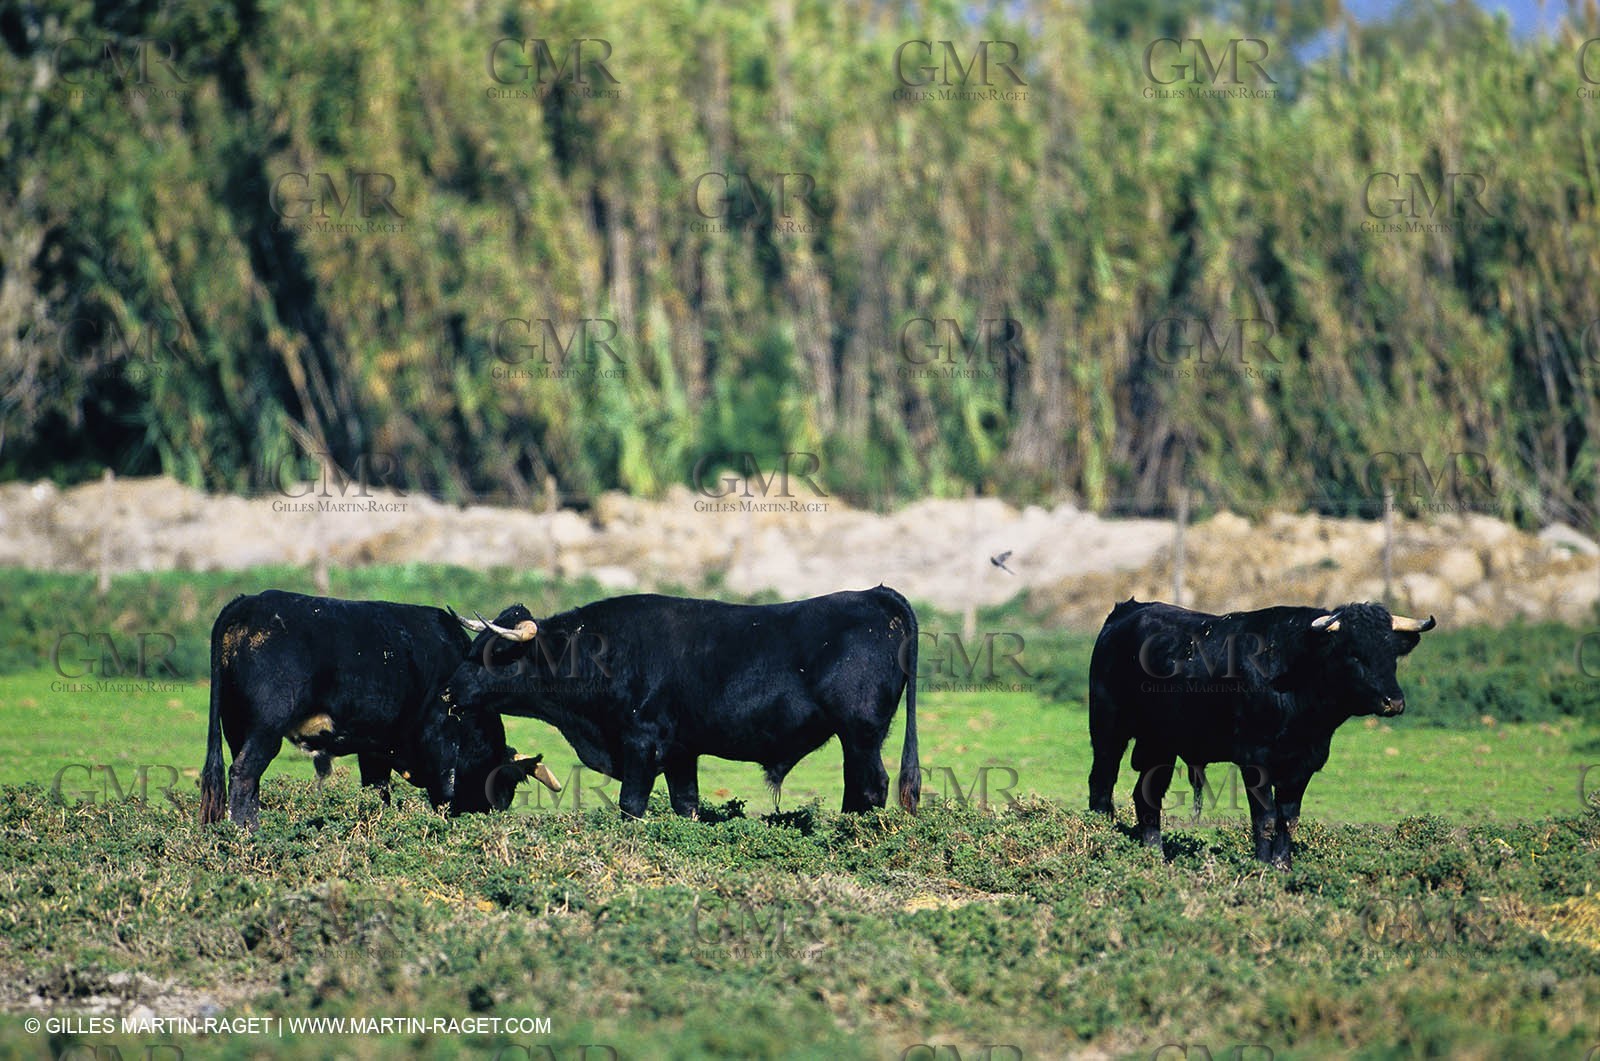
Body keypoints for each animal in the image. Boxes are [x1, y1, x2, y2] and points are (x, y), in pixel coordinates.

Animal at [199, 590, 559, 828]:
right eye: (506, 785)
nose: (488, 814)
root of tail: (247, 601)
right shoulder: (442, 737)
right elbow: (444, 793)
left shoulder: (374, 749)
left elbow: (377, 793)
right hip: (266, 728)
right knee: (244, 774)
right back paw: (247, 835)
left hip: (235, 724)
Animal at [436, 586, 922, 819]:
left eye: (494, 653)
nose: (448, 691)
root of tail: (874, 594)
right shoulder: (681, 752)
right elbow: (686, 804)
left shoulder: (641, 742)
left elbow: (631, 804)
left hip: (860, 733)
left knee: (871, 787)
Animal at [1087, 598, 1436, 868]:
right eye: (1354, 653)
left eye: (1391, 654)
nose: (1394, 702)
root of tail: (1127, 611)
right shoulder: (1255, 759)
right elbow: (1265, 817)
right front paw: (1262, 866)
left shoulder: (1304, 762)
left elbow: (1288, 818)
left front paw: (1283, 866)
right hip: (1108, 730)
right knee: (1101, 786)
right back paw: (1101, 841)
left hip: (1160, 745)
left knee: (1147, 796)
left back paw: (1154, 857)